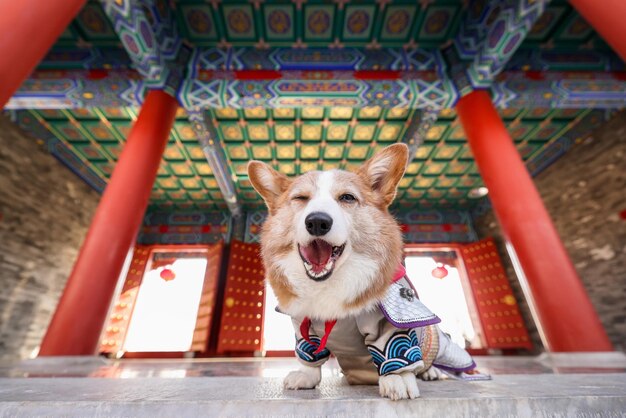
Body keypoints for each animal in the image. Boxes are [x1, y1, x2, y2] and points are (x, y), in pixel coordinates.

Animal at [246, 144, 480, 402]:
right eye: (300, 198)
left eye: (347, 197)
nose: (317, 222)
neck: (328, 284)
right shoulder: (303, 323)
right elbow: (308, 353)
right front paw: (305, 376)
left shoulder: (392, 319)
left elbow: (393, 352)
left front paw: (397, 379)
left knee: (432, 358)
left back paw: (432, 372)